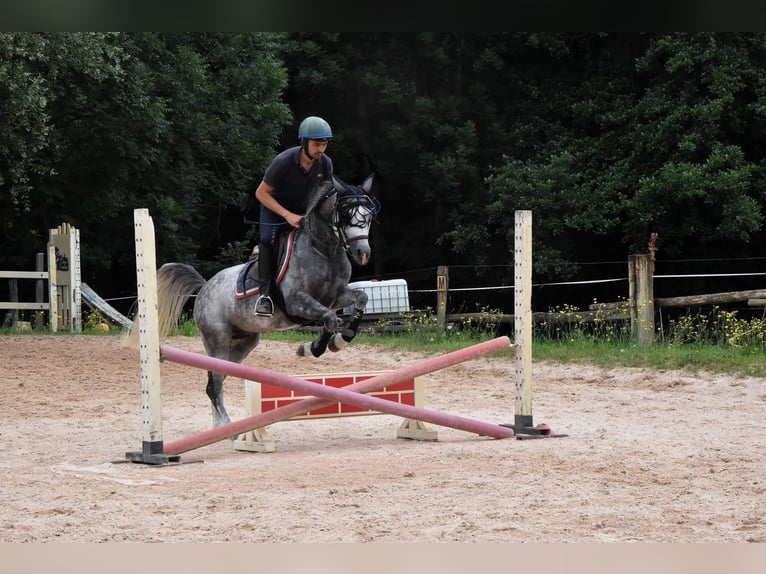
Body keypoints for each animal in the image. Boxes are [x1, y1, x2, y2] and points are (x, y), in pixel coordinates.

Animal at [130, 176, 380, 428]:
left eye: (368, 217)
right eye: (346, 215)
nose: (363, 253)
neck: (324, 251)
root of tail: (204, 287)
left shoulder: (334, 297)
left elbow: (360, 299)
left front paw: (341, 339)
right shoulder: (297, 302)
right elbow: (329, 318)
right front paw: (314, 348)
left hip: (242, 343)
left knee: (216, 381)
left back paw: (219, 425)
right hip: (217, 340)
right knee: (213, 385)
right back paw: (228, 427)